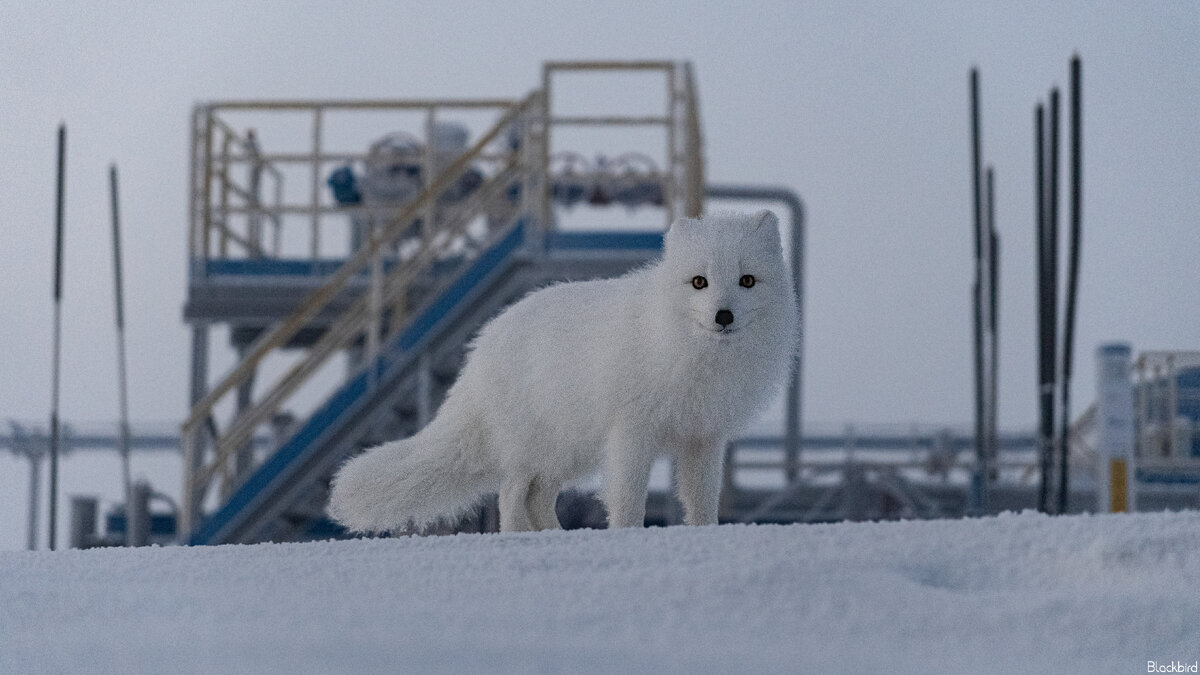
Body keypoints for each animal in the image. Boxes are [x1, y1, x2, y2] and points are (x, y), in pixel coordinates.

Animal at [328, 208, 796, 530]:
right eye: (699, 282)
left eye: (747, 281)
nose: (723, 316)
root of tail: (482, 347)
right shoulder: (631, 431)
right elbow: (628, 498)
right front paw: (627, 536)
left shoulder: (704, 436)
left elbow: (701, 500)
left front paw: (705, 534)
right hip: (534, 447)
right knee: (511, 496)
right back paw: (521, 538)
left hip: (567, 451)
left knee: (537, 497)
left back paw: (554, 535)